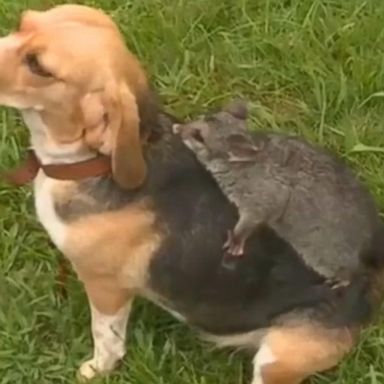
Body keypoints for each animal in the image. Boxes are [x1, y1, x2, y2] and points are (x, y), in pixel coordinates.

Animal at [0, 3, 384, 384]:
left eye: (39, 66)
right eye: (22, 23)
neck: (89, 161)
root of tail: (366, 288)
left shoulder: (106, 288)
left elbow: (106, 339)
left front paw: (96, 369)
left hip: (276, 359)